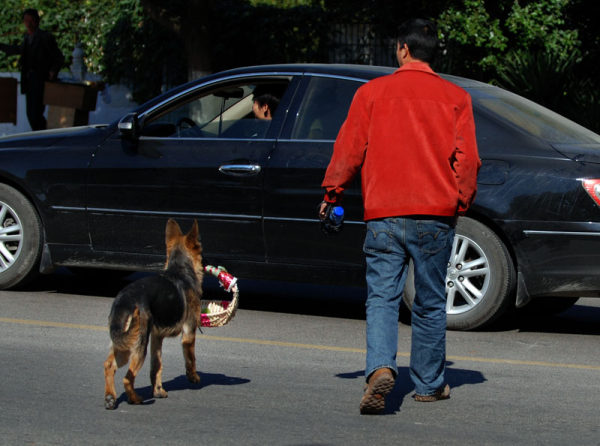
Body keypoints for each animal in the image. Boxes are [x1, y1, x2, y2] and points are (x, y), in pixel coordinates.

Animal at [103, 218, 204, 410]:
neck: (180, 270)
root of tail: (124, 300)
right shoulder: (189, 332)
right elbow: (191, 358)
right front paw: (193, 377)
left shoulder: (157, 337)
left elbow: (157, 366)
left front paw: (158, 390)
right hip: (137, 347)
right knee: (127, 378)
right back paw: (134, 399)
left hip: (124, 345)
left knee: (109, 366)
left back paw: (110, 397)